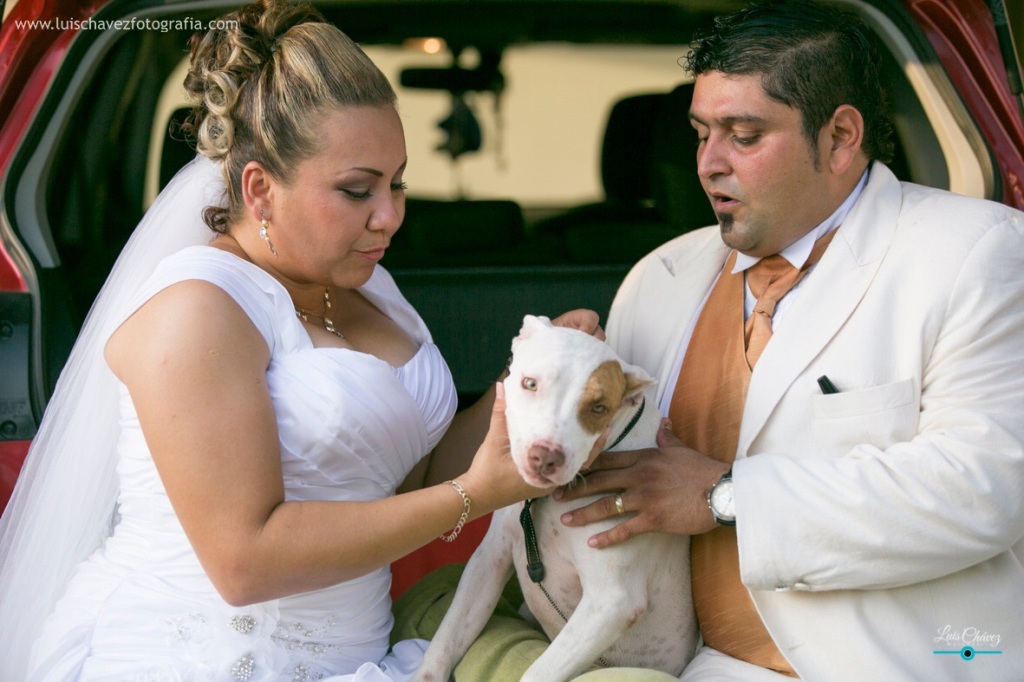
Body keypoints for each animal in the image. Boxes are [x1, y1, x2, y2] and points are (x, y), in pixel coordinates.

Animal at [413, 315, 696, 679]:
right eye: (530, 384)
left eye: (599, 407)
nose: (546, 457)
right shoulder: (489, 559)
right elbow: (445, 641)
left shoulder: (611, 602)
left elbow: (536, 672)